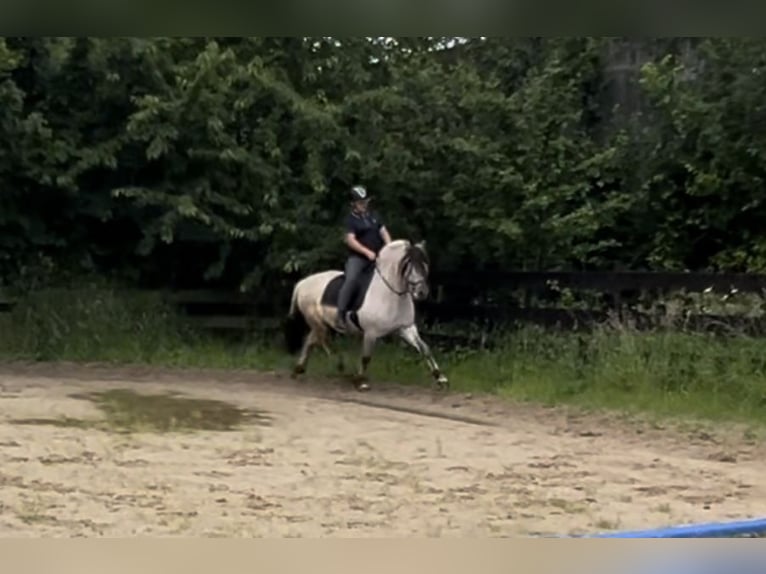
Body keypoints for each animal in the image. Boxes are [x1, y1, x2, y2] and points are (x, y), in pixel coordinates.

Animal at [283, 239, 449, 392]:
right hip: (317, 322)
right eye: (408, 264)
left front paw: (440, 378)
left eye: (424, 264)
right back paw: (341, 367)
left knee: (311, 340)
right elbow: (366, 357)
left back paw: (299, 369)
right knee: (323, 341)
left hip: (318, 323)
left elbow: (425, 349)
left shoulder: (406, 328)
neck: (390, 294)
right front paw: (361, 382)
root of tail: (303, 283)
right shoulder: (371, 332)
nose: (421, 292)